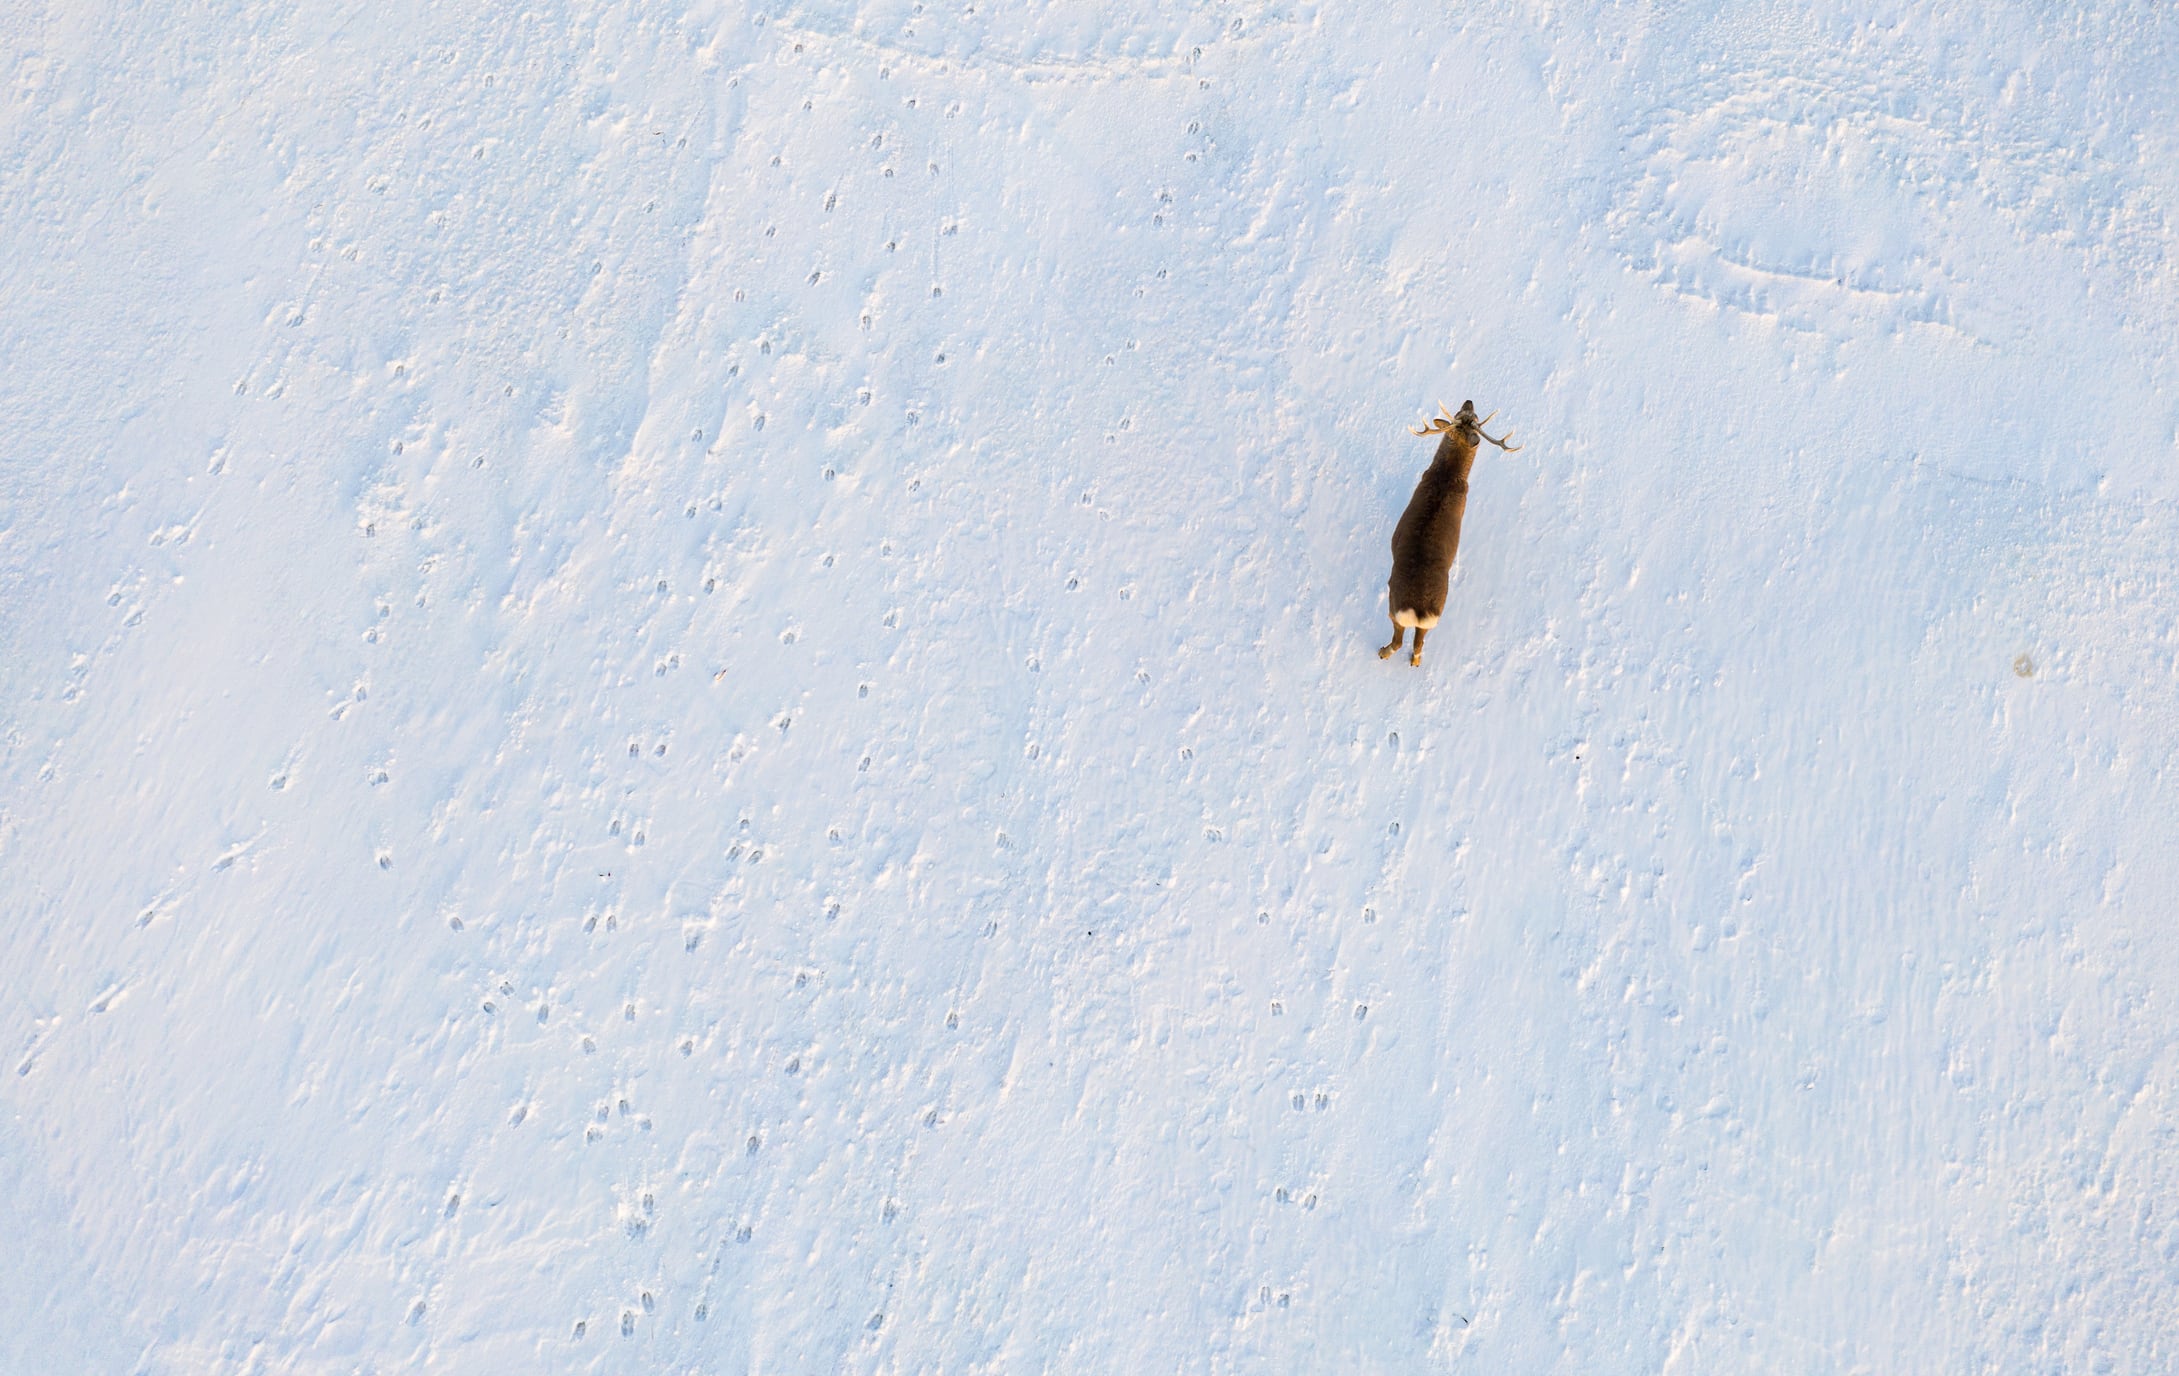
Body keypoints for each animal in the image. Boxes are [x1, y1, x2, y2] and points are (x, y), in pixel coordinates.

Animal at [1379, 400, 1520, 667]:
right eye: (1462, 413)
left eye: (1472, 414)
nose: (1469, 400)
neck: (1447, 476)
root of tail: (1420, 610)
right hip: (1430, 619)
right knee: (1417, 645)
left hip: (1394, 607)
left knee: (1399, 640)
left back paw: (1382, 652)